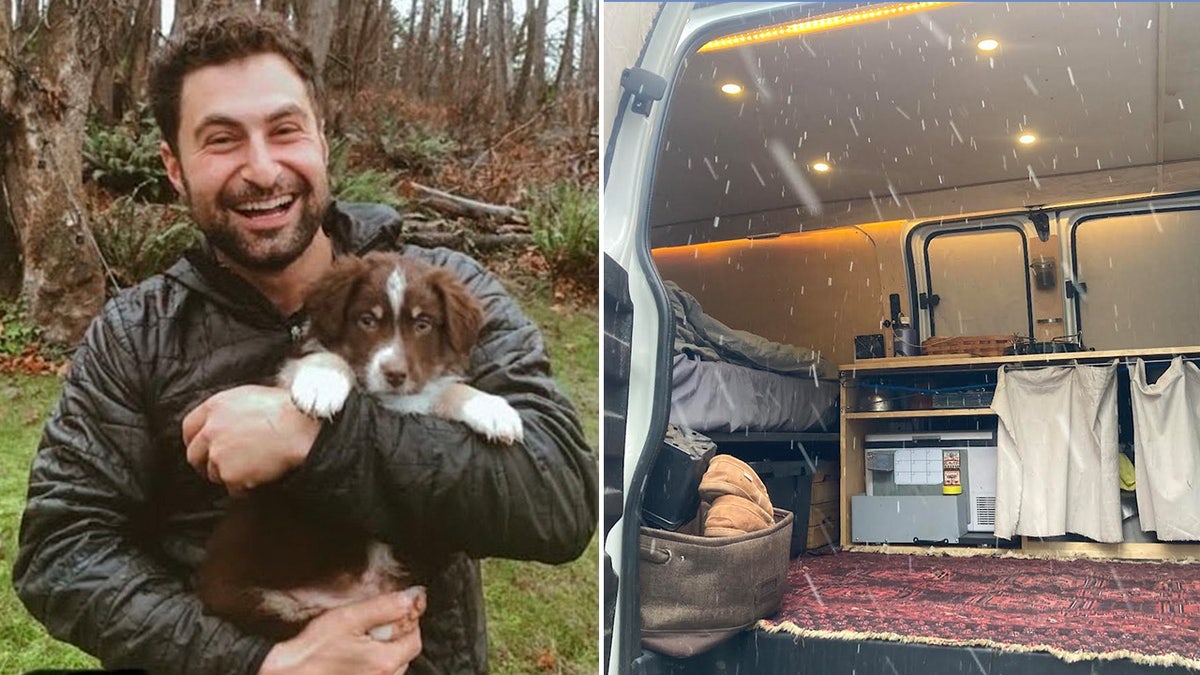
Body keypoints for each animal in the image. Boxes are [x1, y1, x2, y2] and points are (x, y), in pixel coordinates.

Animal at [198, 251, 525, 634]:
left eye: (423, 324)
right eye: (366, 320)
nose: (395, 375)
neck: (383, 398)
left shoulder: (417, 396)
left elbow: (446, 391)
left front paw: (494, 410)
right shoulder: (283, 377)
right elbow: (328, 357)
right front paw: (321, 385)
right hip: (269, 602)